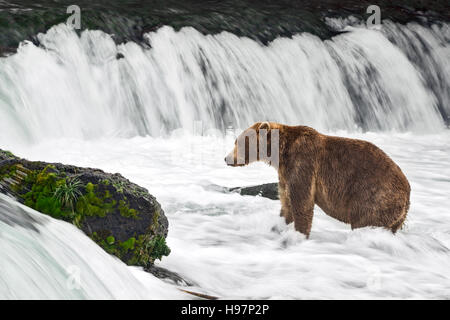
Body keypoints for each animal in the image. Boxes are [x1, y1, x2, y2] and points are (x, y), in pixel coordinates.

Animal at [225, 122, 412, 238]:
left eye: (239, 142)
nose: (227, 158)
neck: (282, 153)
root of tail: (408, 191)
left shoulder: (303, 163)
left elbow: (302, 202)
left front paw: (299, 234)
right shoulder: (285, 174)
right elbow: (286, 202)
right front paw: (277, 226)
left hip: (374, 196)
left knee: (365, 221)